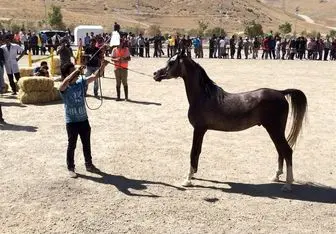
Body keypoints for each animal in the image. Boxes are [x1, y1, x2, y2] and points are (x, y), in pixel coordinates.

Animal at [152, 52, 308, 192]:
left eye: (171, 63)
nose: (155, 74)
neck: (203, 96)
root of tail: (281, 92)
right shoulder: (202, 130)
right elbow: (198, 151)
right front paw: (194, 174)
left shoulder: (198, 129)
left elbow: (193, 151)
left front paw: (188, 180)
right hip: (274, 130)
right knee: (280, 150)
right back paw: (276, 176)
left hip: (274, 129)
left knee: (287, 151)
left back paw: (287, 185)